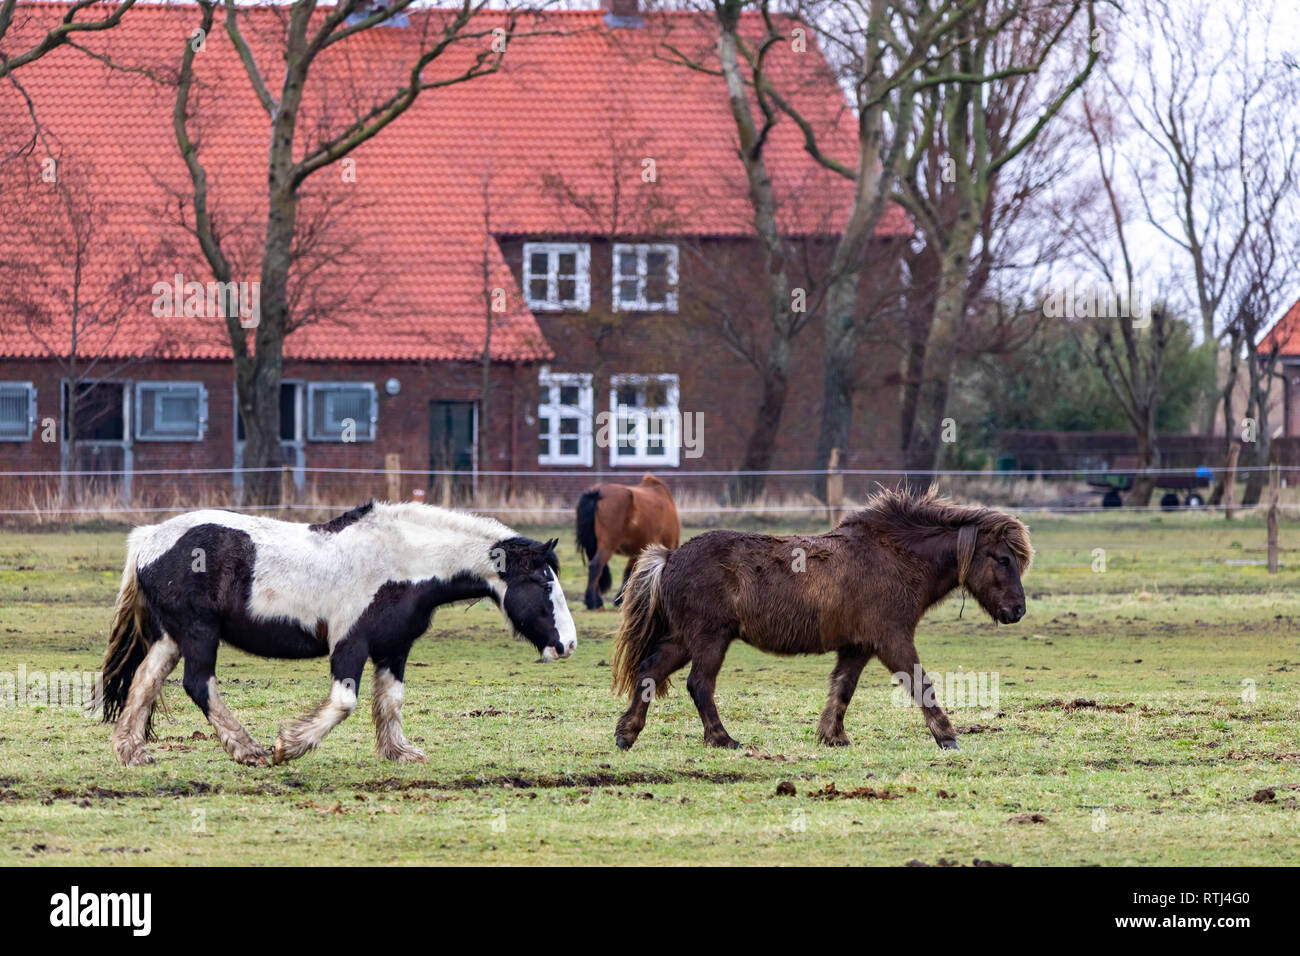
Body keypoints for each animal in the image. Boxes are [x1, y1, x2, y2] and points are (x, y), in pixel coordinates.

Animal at [94, 502, 577, 770]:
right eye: (544, 583)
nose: (568, 645)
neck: (402, 561)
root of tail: (148, 539)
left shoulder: (394, 648)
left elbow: (391, 702)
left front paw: (399, 752)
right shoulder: (350, 644)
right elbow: (345, 702)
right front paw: (288, 746)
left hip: (170, 637)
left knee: (144, 682)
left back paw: (131, 752)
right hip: (198, 633)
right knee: (198, 684)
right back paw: (248, 750)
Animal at [577, 476, 681, 608]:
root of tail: (596, 492)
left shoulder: (637, 550)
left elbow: (628, 572)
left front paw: (620, 599)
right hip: (608, 545)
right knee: (596, 566)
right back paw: (592, 601)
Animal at [611, 489, 1034, 749]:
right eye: (1003, 559)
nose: (1018, 611)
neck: (895, 557)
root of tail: (670, 557)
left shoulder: (858, 646)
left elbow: (842, 689)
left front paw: (832, 736)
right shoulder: (893, 640)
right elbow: (921, 684)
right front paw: (947, 737)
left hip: (685, 640)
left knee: (649, 672)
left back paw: (626, 734)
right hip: (709, 639)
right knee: (699, 685)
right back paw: (722, 739)